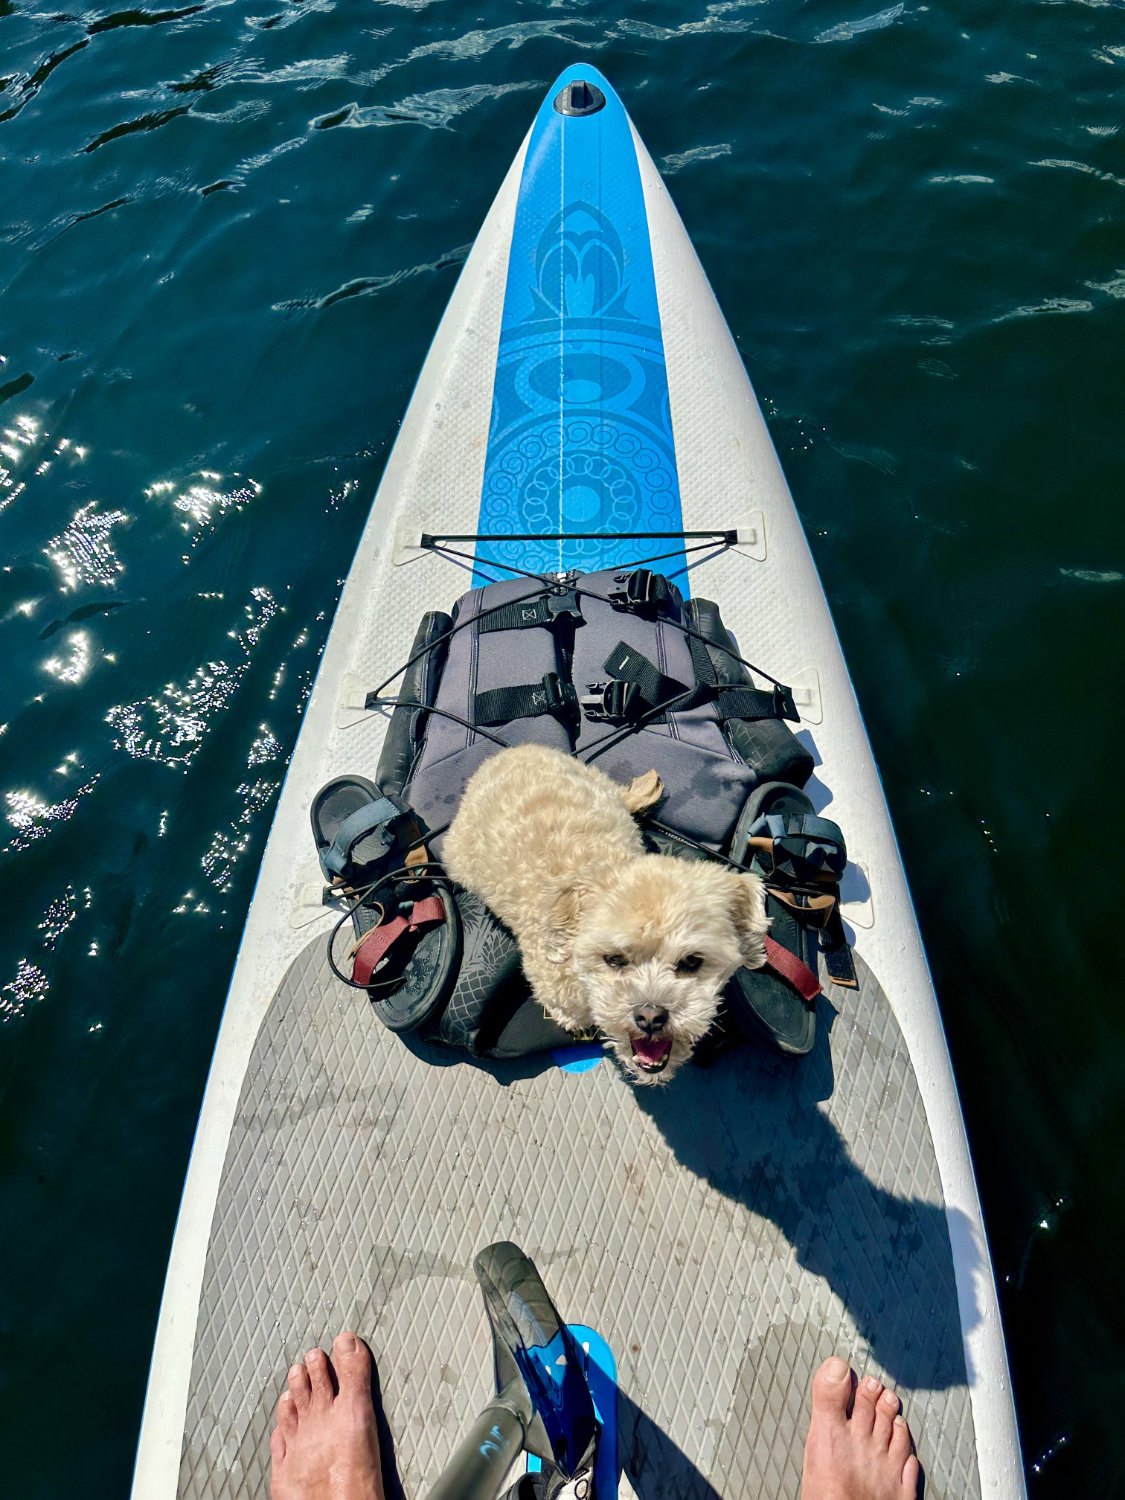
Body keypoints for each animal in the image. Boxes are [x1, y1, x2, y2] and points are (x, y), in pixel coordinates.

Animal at [444, 744, 774, 1086]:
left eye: (692, 962)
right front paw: (571, 1019)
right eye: (613, 959)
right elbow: (566, 1008)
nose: (651, 1016)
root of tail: (511, 752)